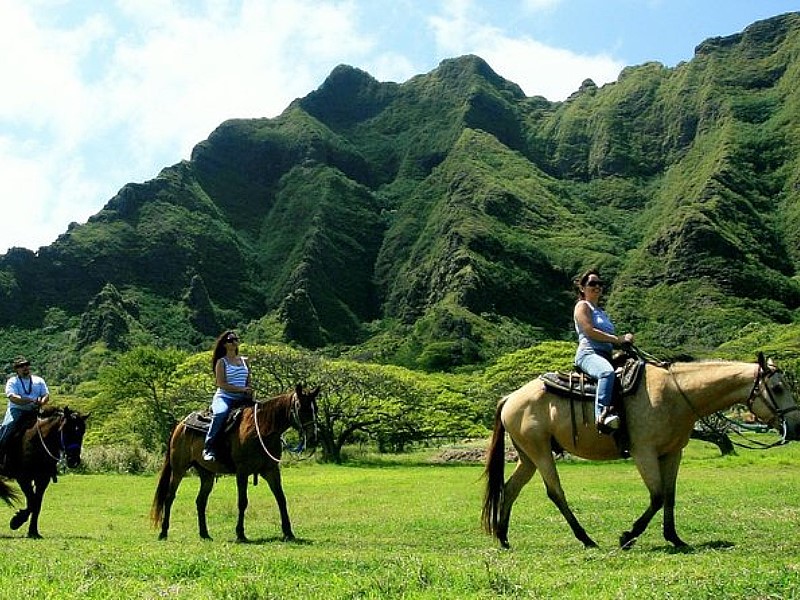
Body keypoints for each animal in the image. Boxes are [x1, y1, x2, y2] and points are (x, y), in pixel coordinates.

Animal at [0, 408, 88, 540]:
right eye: (66, 430)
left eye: (82, 431)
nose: (73, 460)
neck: (36, 442)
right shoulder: (23, 478)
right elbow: (32, 502)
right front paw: (16, 521)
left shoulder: (42, 479)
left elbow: (37, 504)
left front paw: (33, 532)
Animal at [152, 384, 320, 544]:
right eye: (300, 407)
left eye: (315, 409)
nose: (313, 438)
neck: (262, 429)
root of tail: (180, 425)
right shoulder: (242, 472)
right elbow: (242, 502)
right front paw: (240, 534)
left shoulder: (271, 470)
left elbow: (281, 499)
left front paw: (288, 532)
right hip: (178, 470)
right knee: (169, 497)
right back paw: (163, 533)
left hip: (207, 474)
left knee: (200, 501)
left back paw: (205, 534)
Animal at [482, 354, 800, 552]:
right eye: (777, 387)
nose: (796, 427)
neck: (676, 393)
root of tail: (511, 397)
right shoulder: (643, 452)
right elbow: (657, 496)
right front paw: (628, 536)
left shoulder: (673, 453)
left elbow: (670, 496)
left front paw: (674, 538)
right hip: (540, 453)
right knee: (555, 493)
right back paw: (586, 539)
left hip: (529, 456)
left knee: (510, 489)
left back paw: (503, 537)